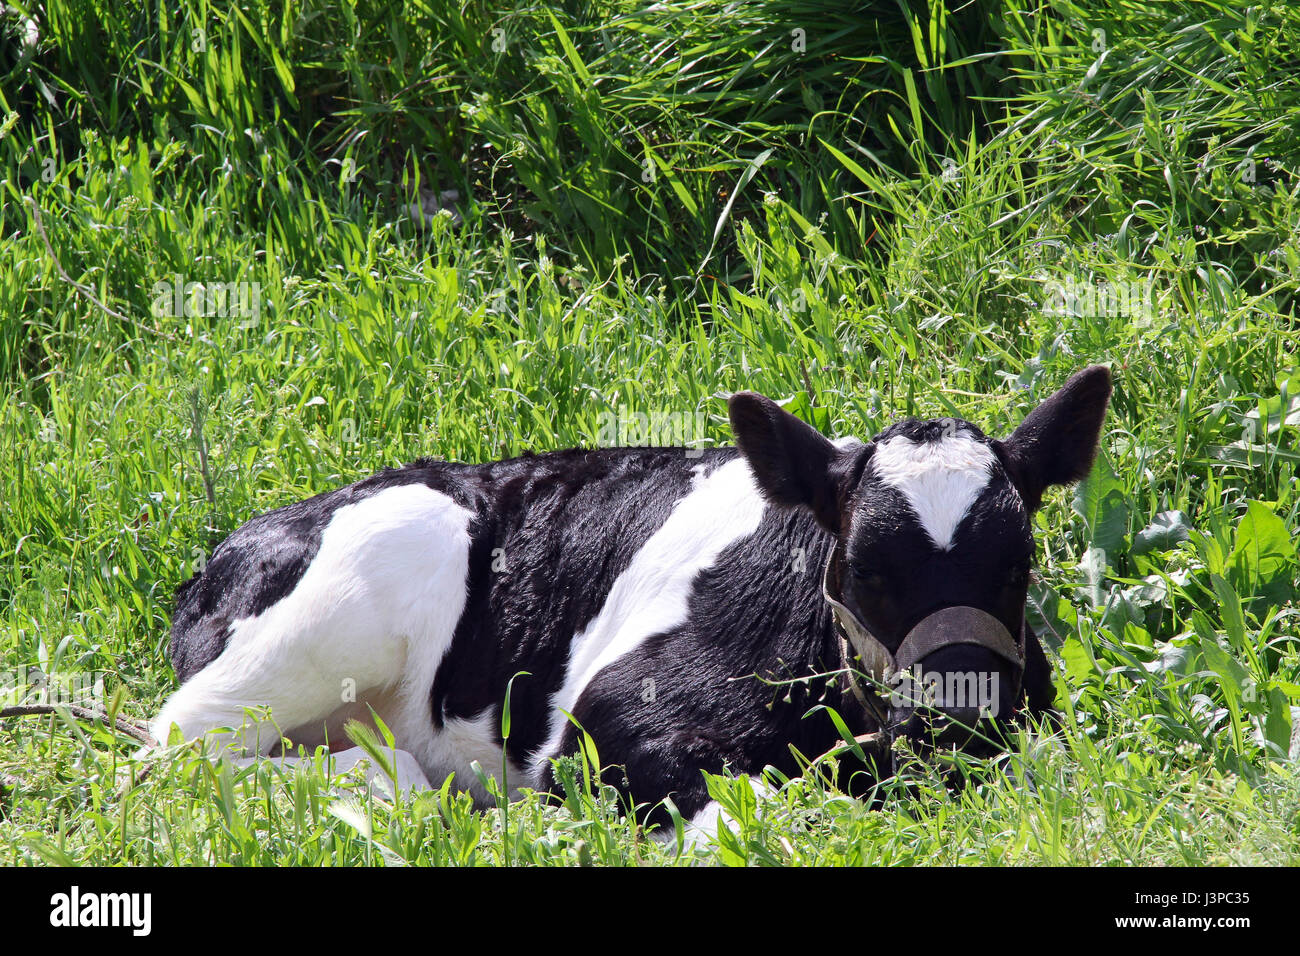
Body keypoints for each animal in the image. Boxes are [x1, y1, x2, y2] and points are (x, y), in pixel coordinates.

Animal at [149, 361, 1107, 827]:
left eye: (1017, 566)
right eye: (868, 570)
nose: (964, 721)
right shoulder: (603, 722)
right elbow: (754, 815)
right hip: (357, 588)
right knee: (175, 751)